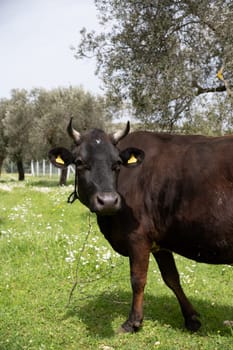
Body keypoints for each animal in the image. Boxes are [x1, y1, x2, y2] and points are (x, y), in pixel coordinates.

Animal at [49, 119, 233, 334]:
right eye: (79, 162)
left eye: (117, 163)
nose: (108, 201)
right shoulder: (160, 241)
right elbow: (172, 278)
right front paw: (191, 318)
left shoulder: (138, 236)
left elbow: (138, 279)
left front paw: (133, 321)